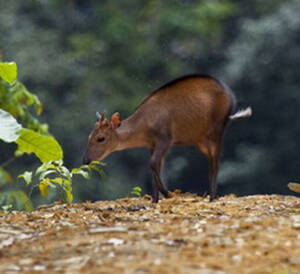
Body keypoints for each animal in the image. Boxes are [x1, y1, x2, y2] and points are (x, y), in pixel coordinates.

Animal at [83, 74, 252, 202]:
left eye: (101, 138)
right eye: (89, 136)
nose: (85, 160)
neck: (144, 126)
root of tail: (232, 102)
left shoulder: (165, 139)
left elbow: (153, 163)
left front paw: (167, 193)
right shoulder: (151, 145)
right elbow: (154, 166)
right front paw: (155, 199)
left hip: (216, 130)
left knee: (215, 162)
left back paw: (212, 196)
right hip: (202, 139)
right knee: (212, 160)